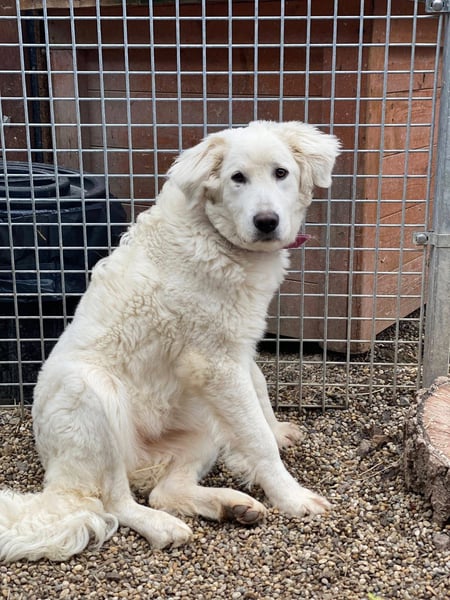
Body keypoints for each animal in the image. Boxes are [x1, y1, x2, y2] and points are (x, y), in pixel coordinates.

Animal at [0, 121, 340, 561]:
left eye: (280, 173)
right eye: (237, 178)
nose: (266, 221)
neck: (215, 234)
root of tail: (59, 480)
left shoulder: (236, 347)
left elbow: (261, 393)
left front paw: (279, 430)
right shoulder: (216, 364)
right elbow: (257, 438)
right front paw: (292, 497)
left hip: (202, 427)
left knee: (164, 492)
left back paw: (230, 505)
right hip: (95, 393)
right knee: (114, 502)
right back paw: (163, 527)